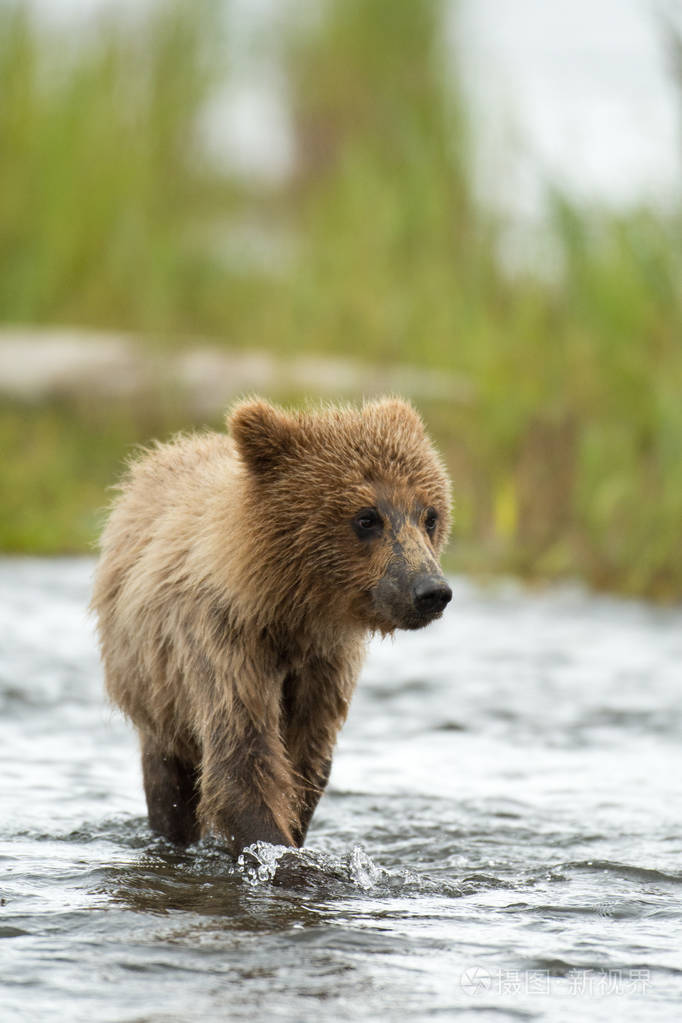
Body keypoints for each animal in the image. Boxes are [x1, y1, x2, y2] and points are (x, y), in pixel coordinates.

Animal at [91, 397, 452, 856]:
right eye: (367, 517)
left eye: (430, 515)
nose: (431, 590)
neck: (289, 612)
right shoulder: (223, 642)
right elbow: (242, 761)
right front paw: (282, 855)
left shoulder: (326, 666)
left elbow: (304, 765)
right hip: (154, 687)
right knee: (167, 781)